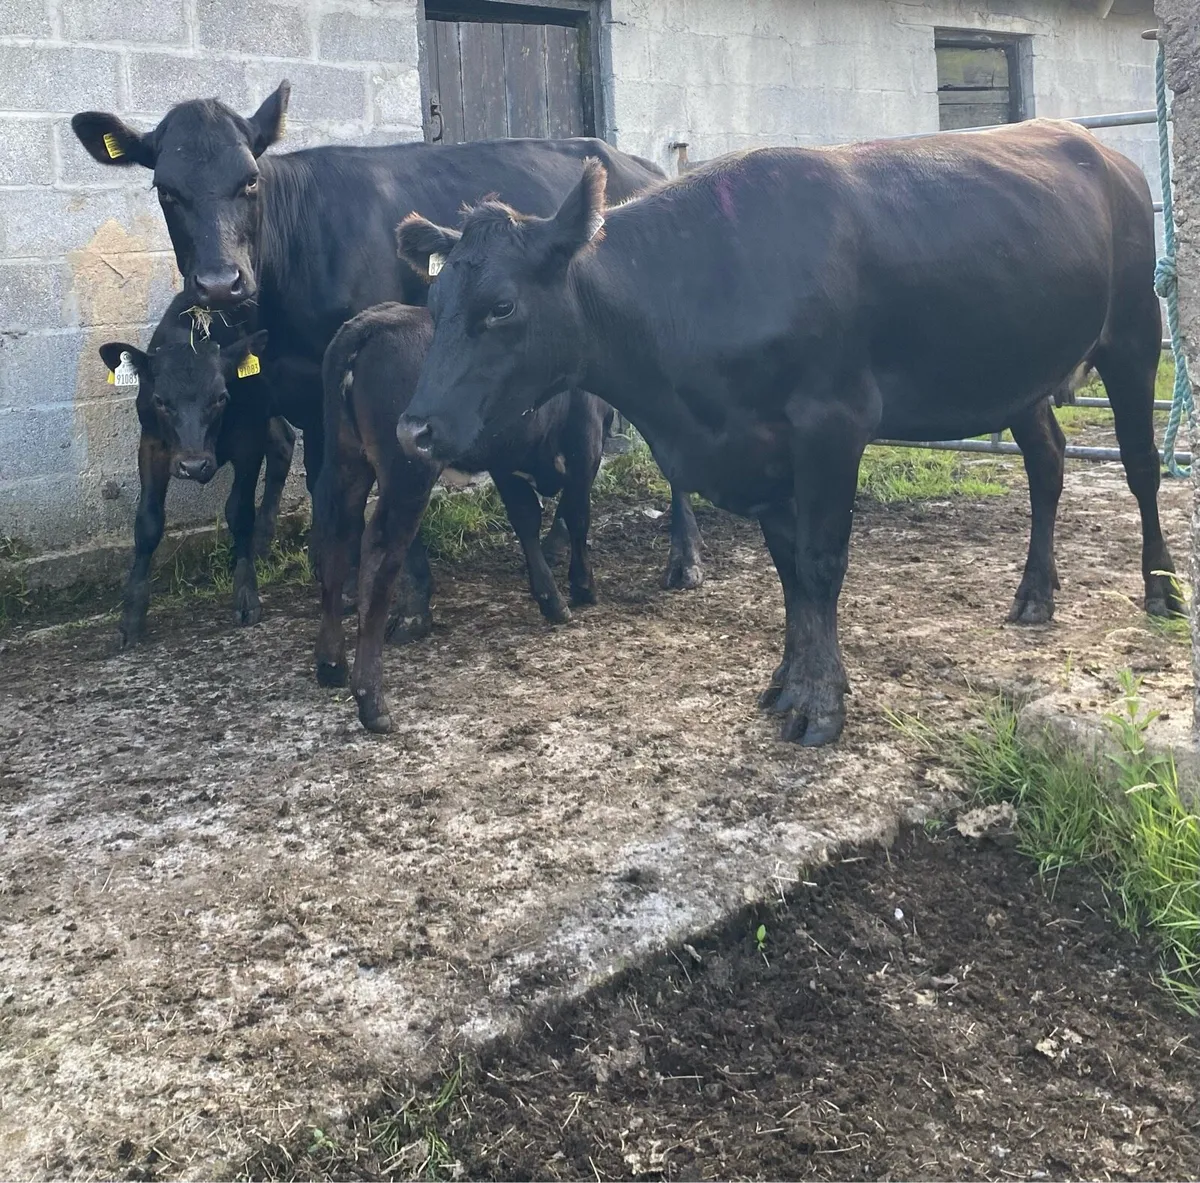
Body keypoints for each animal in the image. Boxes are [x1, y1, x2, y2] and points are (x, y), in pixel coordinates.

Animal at [71, 82, 704, 594]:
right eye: (165, 190)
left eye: (249, 180)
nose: (221, 282)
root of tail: (644, 166)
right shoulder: (306, 390)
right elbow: (323, 481)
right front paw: (335, 573)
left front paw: (402, 589)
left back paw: (685, 556)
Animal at [99, 292, 295, 646]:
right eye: (160, 401)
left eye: (220, 397)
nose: (193, 465)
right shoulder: (152, 445)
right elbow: (147, 523)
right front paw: (131, 617)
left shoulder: (248, 437)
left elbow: (239, 513)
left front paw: (246, 595)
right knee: (283, 442)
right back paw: (262, 542)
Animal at [313, 303, 615, 733]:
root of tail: (373, 321)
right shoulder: (585, 441)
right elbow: (577, 515)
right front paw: (583, 585)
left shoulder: (506, 454)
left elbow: (526, 519)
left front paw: (551, 598)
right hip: (407, 473)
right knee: (379, 551)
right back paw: (371, 701)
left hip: (345, 462)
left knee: (336, 541)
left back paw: (330, 663)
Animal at [392, 120, 1181, 747]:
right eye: (433, 297)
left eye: (501, 305)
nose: (414, 428)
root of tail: (1096, 144)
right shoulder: (761, 452)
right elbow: (790, 572)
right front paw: (787, 681)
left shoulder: (831, 424)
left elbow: (823, 563)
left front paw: (821, 703)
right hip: (1019, 371)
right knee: (1048, 463)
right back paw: (1036, 593)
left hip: (1135, 333)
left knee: (1141, 465)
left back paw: (1163, 590)